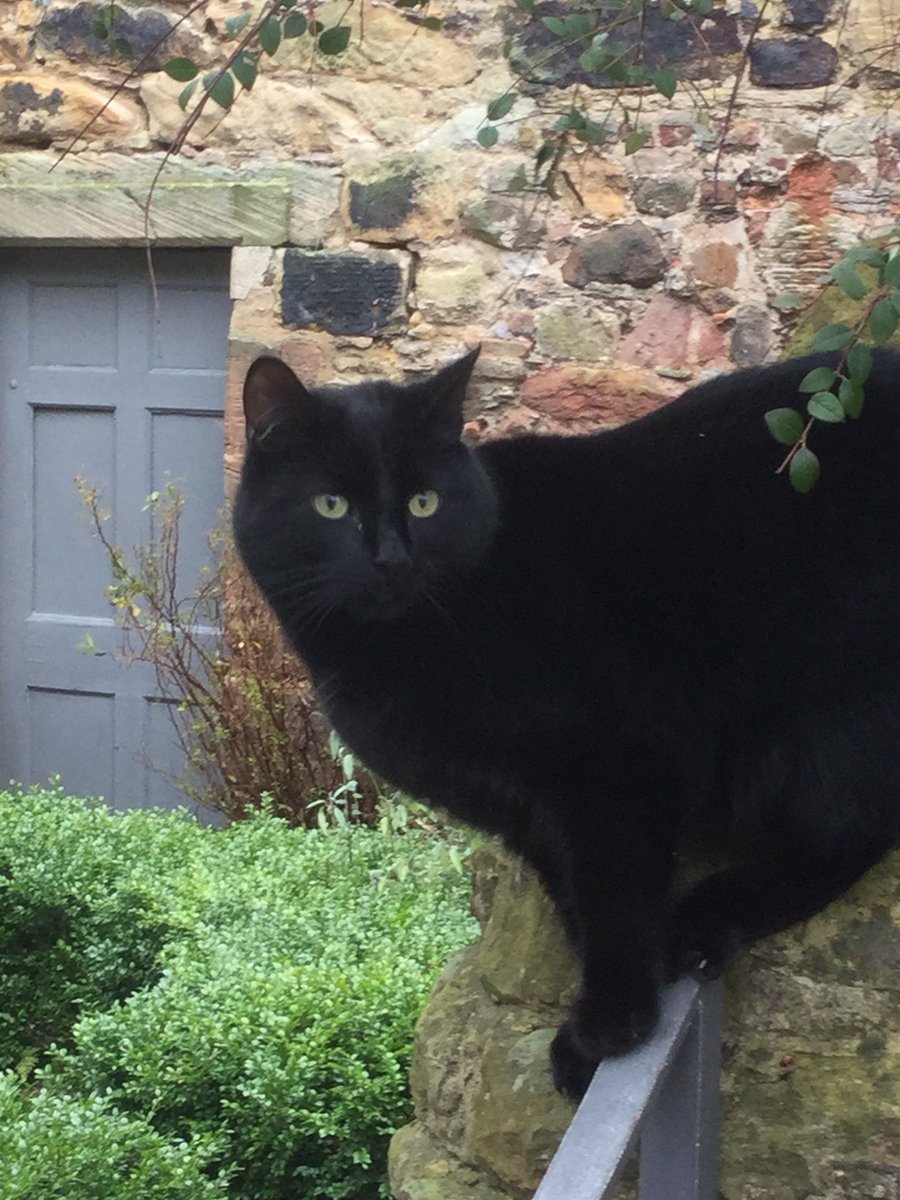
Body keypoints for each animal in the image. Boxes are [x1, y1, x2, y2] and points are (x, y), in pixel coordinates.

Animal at [233, 346, 900, 1101]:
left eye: (424, 502)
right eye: (332, 506)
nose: (392, 561)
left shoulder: (617, 764)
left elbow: (614, 893)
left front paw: (610, 1027)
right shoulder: (523, 808)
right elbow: (581, 901)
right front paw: (618, 1020)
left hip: (827, 710)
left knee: (850, 834)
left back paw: (709, 917)